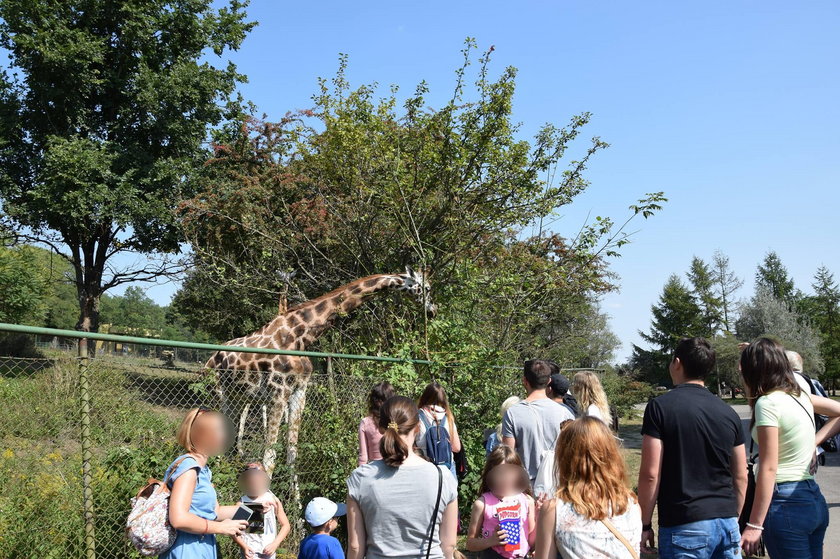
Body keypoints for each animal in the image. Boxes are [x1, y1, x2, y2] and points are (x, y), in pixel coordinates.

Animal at [206, 266, 436, 476]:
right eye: (426, 287)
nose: (433, 311)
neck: (299, 337)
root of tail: (211, 358)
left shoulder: (299, 392)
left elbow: (292, 454)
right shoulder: (278, 393)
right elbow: (269, 458)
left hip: (239, 398)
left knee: (228, 440)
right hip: (219, 395)